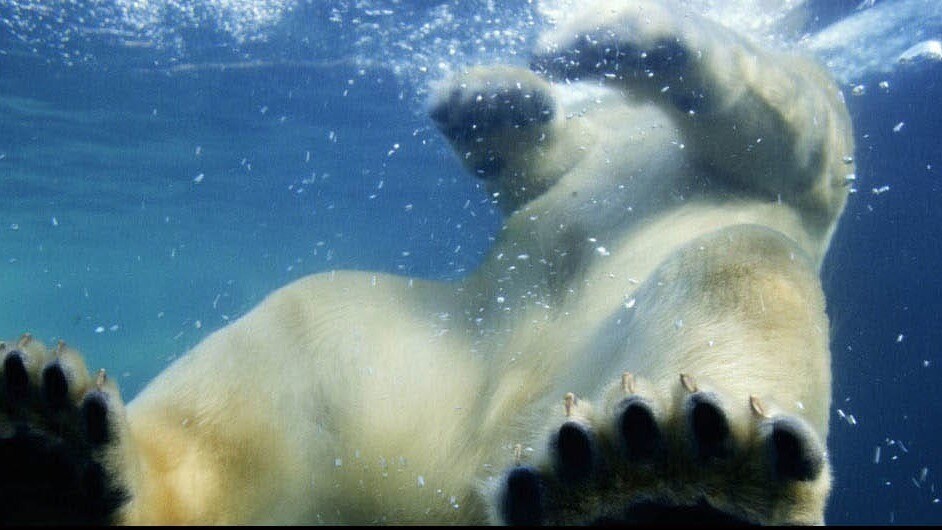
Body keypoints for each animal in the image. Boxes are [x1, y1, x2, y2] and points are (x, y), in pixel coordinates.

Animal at [0, 1, 856, 524]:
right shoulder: (575, 158)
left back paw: (672, 470)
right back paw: (54, 442)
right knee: (253, 376)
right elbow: (539, 164)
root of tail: (447, 489)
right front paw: (489, 95)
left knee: (737, 269)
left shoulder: (797, 160)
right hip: (376, 367)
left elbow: (783, 135)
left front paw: (613, 35)